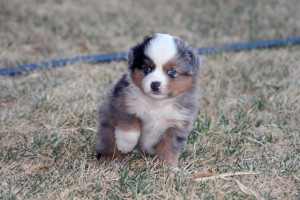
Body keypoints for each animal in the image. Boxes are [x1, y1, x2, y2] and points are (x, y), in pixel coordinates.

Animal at [95, 33, 200, 168]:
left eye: (171, 71)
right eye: (147, 69)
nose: (155, 84)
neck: (157, 103)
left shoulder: (177, 124)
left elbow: (169, 147)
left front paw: (169, 167)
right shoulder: (123, 104)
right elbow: (130, 129)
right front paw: (124, 145)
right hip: (107, 124)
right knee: (109, 143)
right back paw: (113, 161)